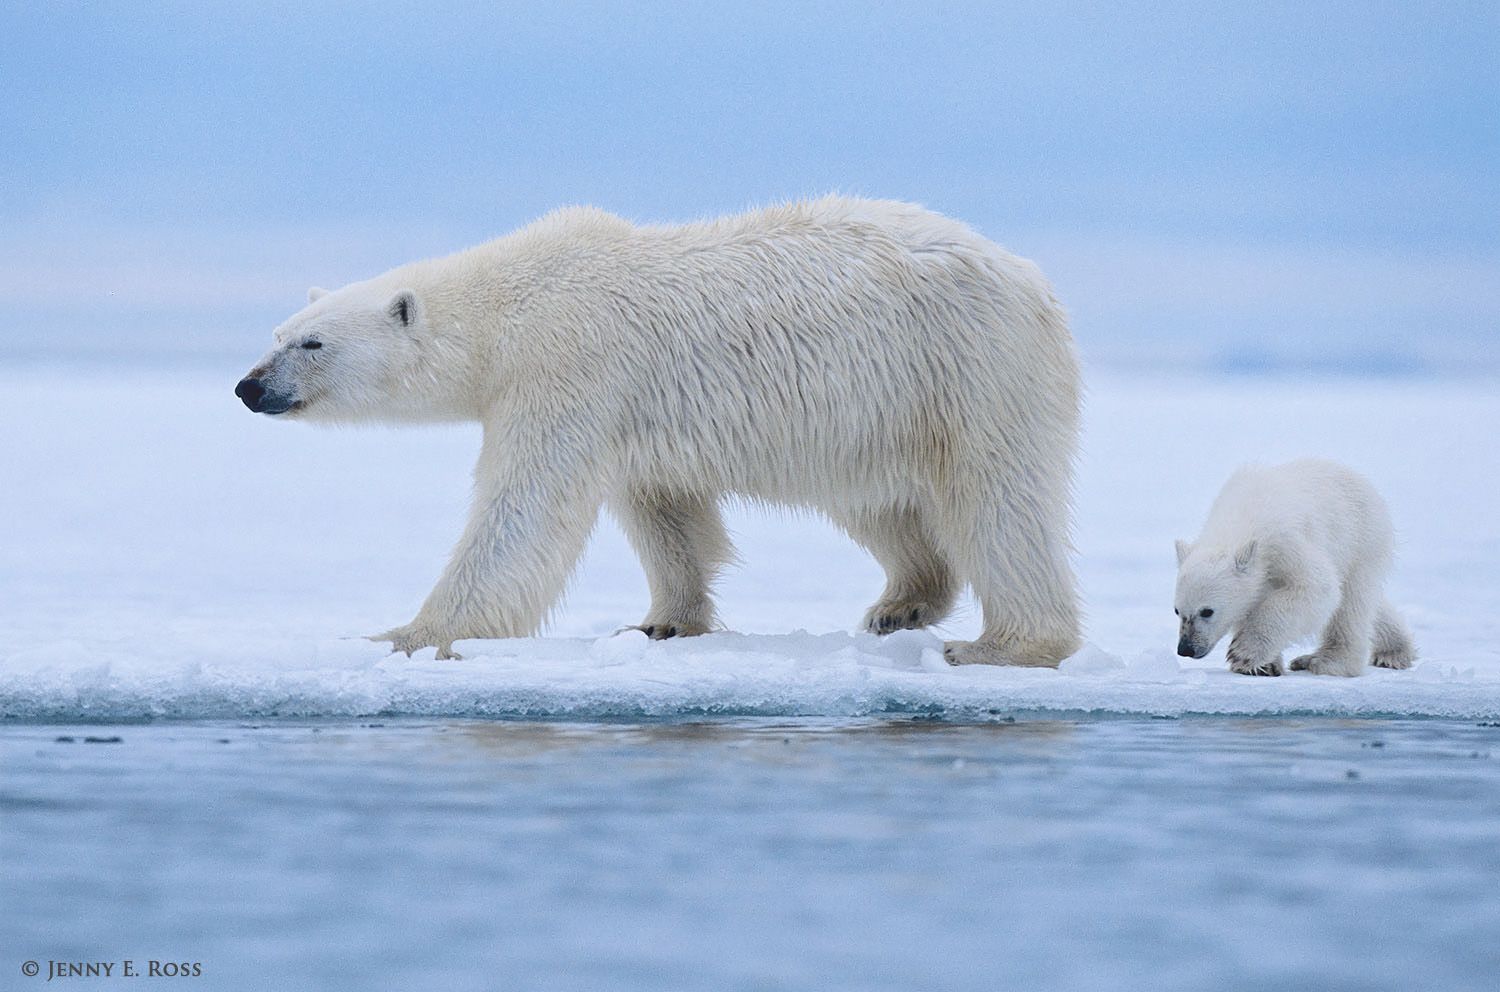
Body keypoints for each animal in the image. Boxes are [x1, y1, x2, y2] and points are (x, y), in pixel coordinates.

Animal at [235, 196, 1082, 665]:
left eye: (312, 344)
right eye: (276, 333)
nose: (249, 388)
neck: (510, 306)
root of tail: (1035, 280)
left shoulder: (568, 370)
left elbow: (522, 514)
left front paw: (404, 635)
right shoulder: (626, 412)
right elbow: (665, 511)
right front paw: (663, 623)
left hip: (965, 368)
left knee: (998, 502)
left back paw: (1002, 645)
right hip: (877, 412)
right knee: (881, 502)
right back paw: (901, 605)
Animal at [1173, 458, 1416, 677]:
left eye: (1207, 611)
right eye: (1177, 610)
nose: (1185, 649)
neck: (1240, 518)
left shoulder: (1285, 541)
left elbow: (1317, 587)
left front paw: (1244, 652)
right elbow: (1250, 602)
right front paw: (1265, 666)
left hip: (1360, 540)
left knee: (1351, 604)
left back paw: (1325, 660)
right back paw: (1394, 651)